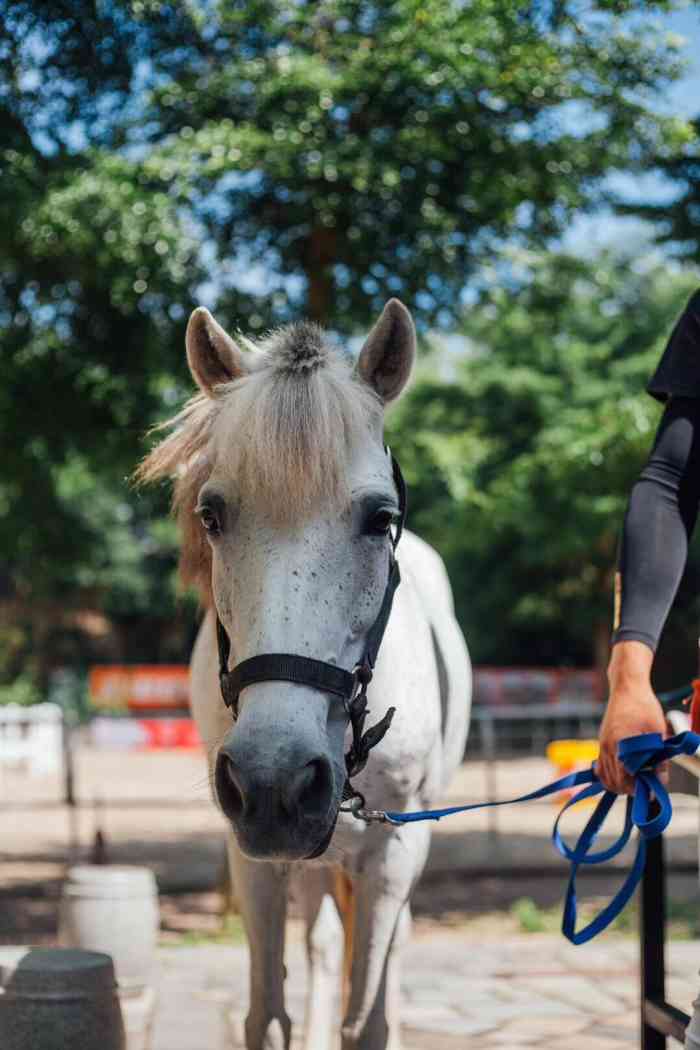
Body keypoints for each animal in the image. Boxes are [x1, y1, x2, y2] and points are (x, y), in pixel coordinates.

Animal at [138, 296, 470, 1050]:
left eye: (380, 518)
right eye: (211, 515)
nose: (275, 778)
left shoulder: (396, 847)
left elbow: (367, 1018)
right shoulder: (253, 852)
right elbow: (267, 1016)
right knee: (320, 943)